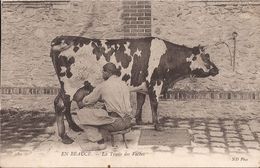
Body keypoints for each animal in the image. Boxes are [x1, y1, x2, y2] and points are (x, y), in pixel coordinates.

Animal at [49, 36, 218, 144]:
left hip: (65, 86)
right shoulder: (156, 83)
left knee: (61, 102)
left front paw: (138, 120)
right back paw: (65, 137)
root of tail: (63, 38)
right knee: (61, 105)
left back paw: (74, 127)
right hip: (70, 85)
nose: (217, 69)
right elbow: (154, 104)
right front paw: (158, 126)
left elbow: (141, 101)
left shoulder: (141, 86)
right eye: (207, 57)